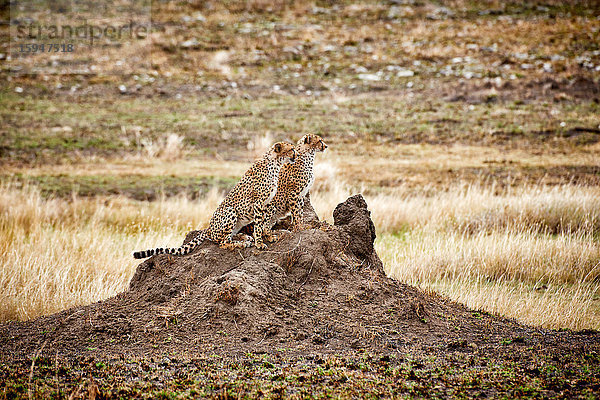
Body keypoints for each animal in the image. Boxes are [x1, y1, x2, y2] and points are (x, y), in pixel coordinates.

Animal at [134, 141, 298, 260]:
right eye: (291, 149)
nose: (296, 155)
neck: (275, 163)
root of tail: (208, 228)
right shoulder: (258, 202)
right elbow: (258, 225)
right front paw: (259, 242)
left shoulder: (267, 202)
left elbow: (265, 221)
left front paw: (268, 235)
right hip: (230, 210)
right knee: (223, 242)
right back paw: (243, 242)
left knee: (227, 237)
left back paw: (243, 237)